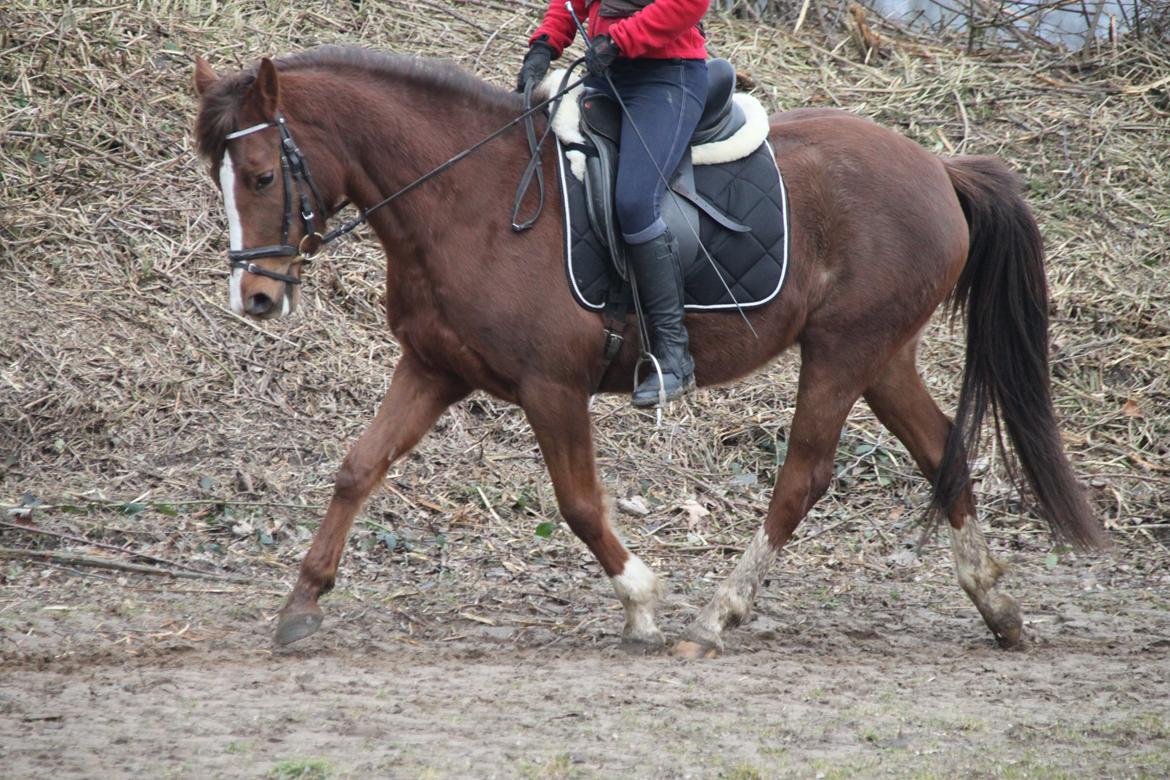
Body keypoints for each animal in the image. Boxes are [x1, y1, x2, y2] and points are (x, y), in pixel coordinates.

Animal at [192, 46, 1107, 657]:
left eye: (264, 175)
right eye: (221, 177)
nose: (255, 299)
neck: (466, 200)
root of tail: (939, 167)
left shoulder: (550, 387)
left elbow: (578, 504)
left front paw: (641, 602)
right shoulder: (434, 369)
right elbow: (357, 468)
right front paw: (301, 606)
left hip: (844, 352)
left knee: (803, 476)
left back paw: (716, 617)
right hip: (883, 355)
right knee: (940, 451)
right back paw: (997, 607)